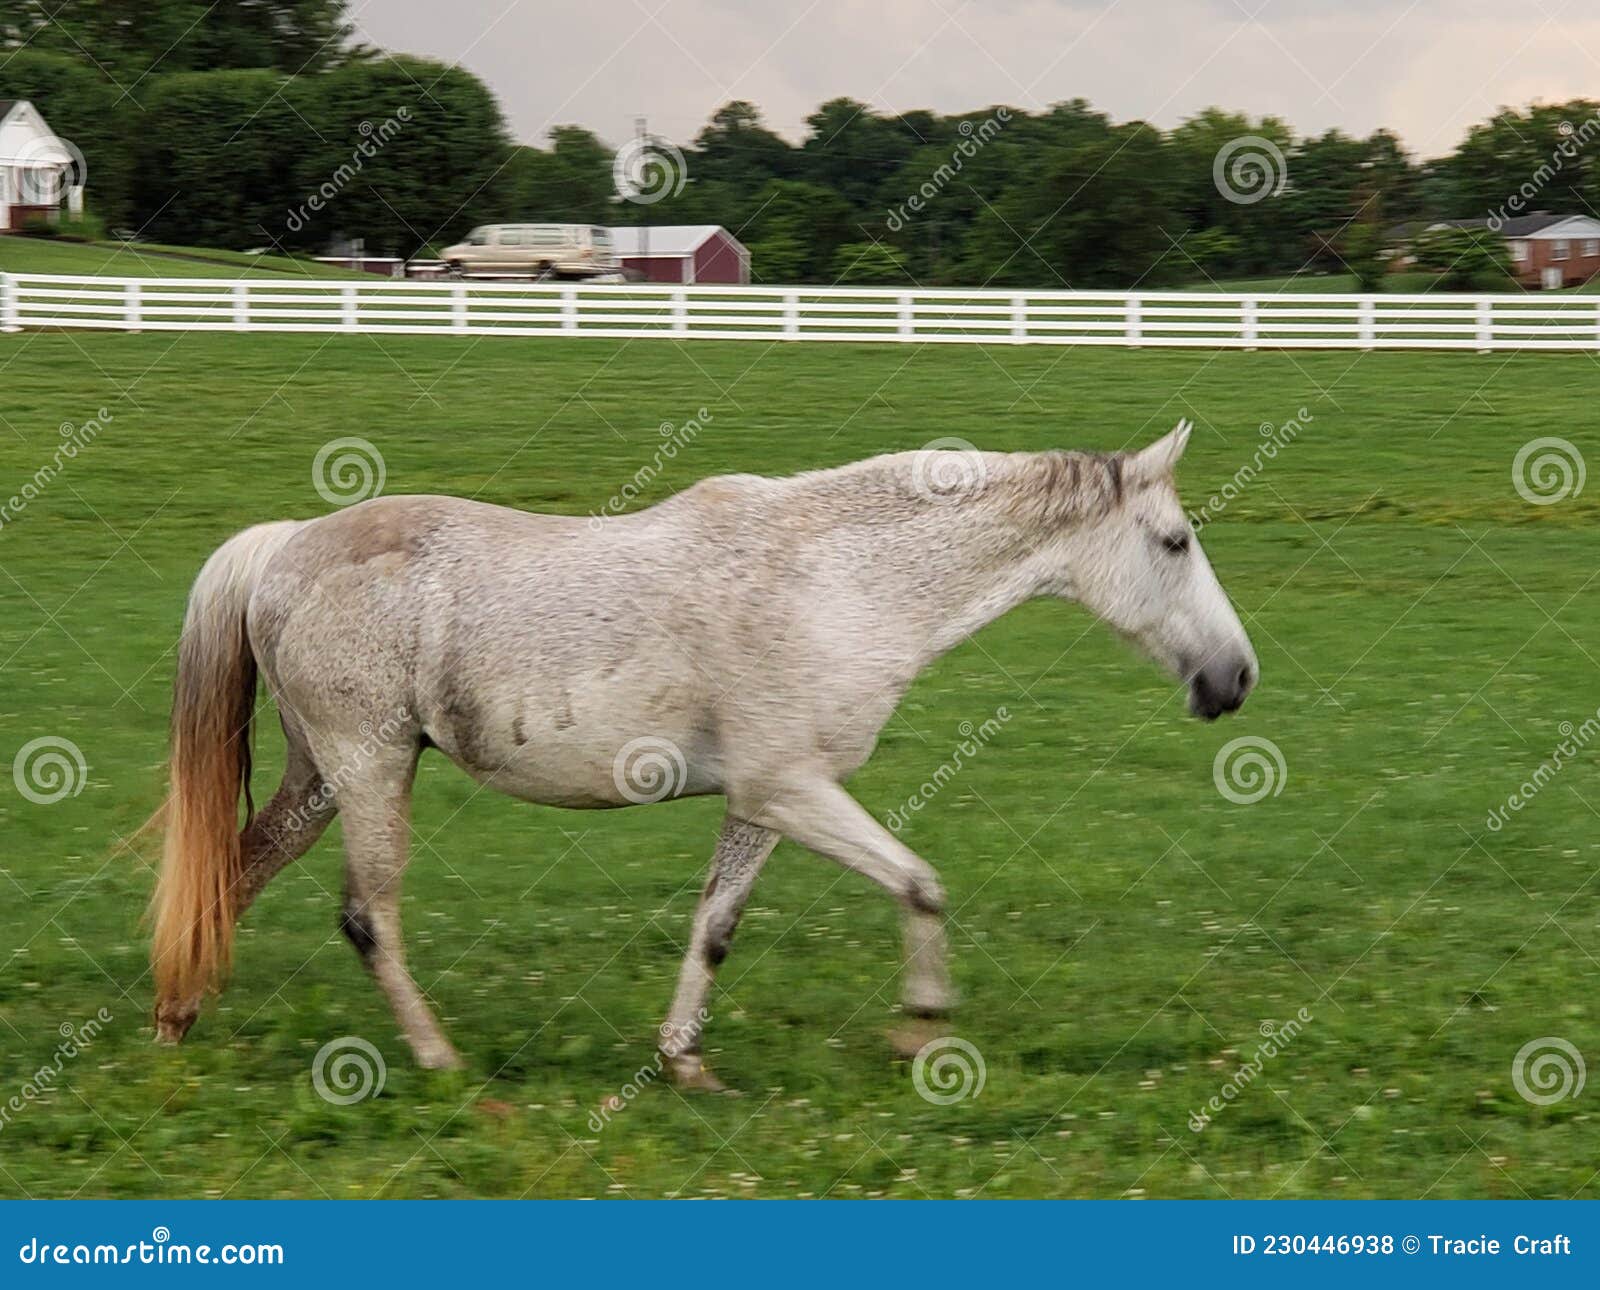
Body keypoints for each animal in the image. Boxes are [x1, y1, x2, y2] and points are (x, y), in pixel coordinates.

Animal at [149, 420, 1256, 1087]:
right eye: (1173, 542)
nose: (1234, 679)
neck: (834, 582)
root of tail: (286, 547)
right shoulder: (792, 788)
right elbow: (919, 883)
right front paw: (925, 1019)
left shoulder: (759, 803)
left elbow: (715, 929)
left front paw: (684, 1063)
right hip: (373, 770)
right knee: (366, 916)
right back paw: (439, 1060)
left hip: (321, 779)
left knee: (234, 872)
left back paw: (177, 1016)